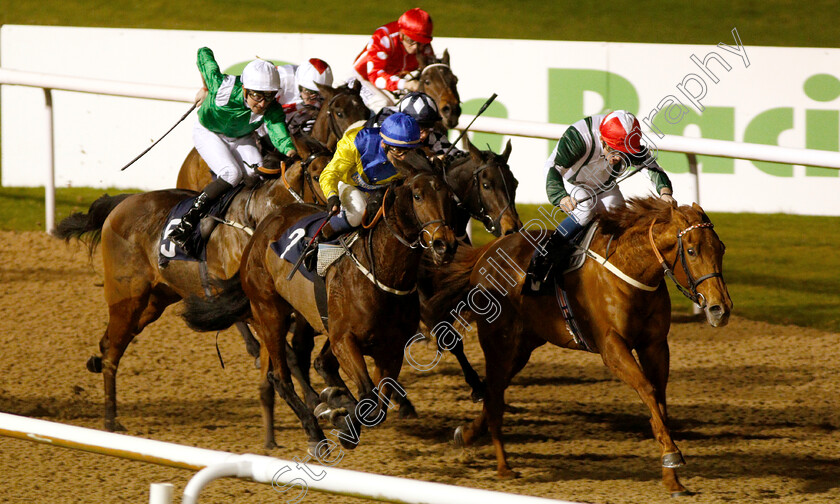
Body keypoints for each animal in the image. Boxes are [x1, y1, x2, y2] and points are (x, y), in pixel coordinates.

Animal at [50, 148, 332, 432]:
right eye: (316, 175)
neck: (256, 218)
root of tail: (123, 202)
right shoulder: (256, 305)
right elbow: (288, 353)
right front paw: (316, 402)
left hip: (155, 300)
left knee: (110, 341)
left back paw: (97, 366)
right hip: (127, 297)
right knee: (114, 348)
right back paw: (110, 418)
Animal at [182, 153, 460, 452]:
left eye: (449, 195)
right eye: (418, 195)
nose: (445, 245)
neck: (382, 274)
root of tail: (262, 227)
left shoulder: (392, 350)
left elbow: (377, 405)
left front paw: (338, 408)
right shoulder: (344, 340)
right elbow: (367, 397)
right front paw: (339, 417)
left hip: (308, 316)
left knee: (313, 363)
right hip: (270, 313)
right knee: (280, 377)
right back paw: (314, 431)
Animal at [424, 198, 732, 496]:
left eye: (721, 248)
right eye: (691, 251)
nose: (720, 309)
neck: (630, 269)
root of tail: (489, 250)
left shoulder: (655, 345)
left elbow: (660, 399)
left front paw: (673, 480)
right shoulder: (612, 347)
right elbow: (647, 389)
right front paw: (672, 455)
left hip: (523, 346)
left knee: (493, 391)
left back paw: (467, 434)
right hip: (498, 341)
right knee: (494, 394)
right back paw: (503, 466)